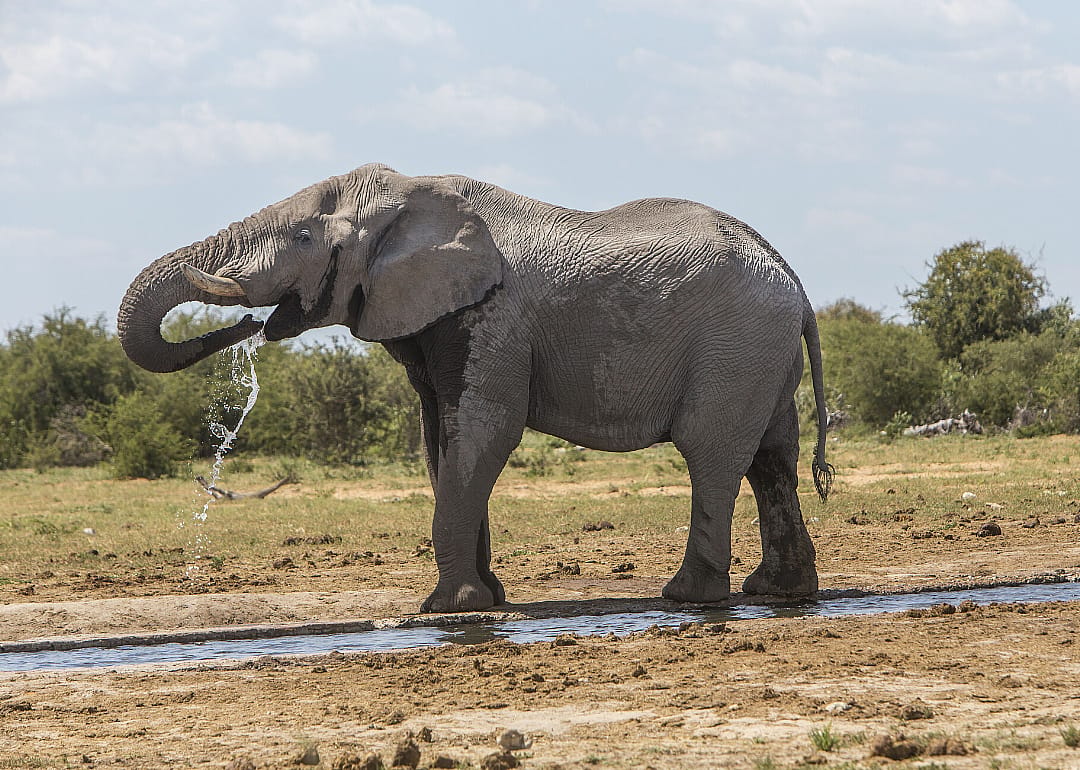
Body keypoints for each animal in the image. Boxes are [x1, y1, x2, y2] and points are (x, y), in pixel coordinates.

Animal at [118, 163, 833, 613]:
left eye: (301, 236)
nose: (251, 323)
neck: (414, 191)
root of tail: (797, 286)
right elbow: (440, 439)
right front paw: (485, 599)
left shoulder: (493, 318)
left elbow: (485, 432)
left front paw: (447, 609)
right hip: (760, 355)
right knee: (773, 458)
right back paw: (777, 593)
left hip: (733, 347)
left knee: (712, 454)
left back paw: (688, 598)